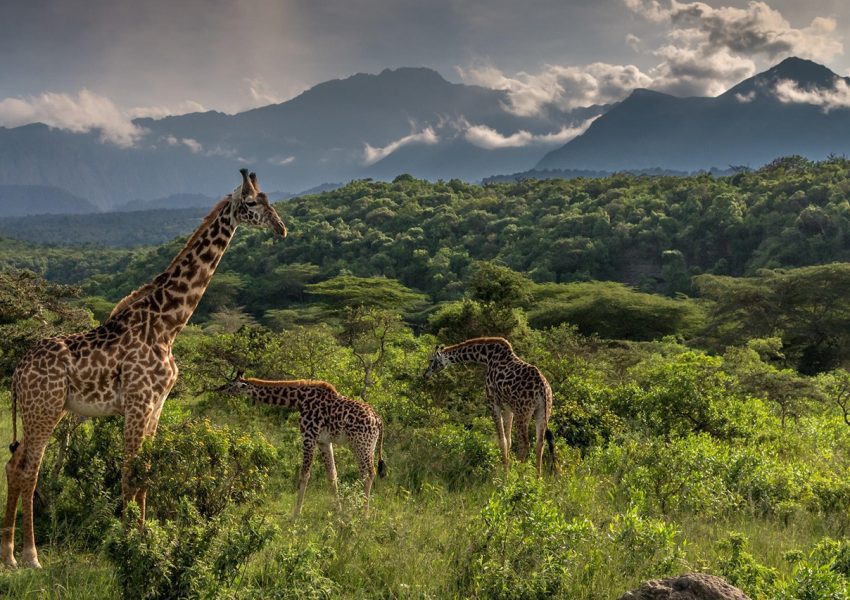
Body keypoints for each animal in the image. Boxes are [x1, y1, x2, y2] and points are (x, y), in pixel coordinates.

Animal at [2, 169, 286, 569]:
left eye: (267, 199)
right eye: (250, 203)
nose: (281, 228)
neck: (168, 324)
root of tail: (17, 372)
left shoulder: (157, 405)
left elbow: (146, 472)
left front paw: (144, 538)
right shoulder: (138, 403)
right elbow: (128, 473)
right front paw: (126, 545)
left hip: (37, 410)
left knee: (14, 465)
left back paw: (8, 554)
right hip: (46, 409)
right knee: (30, 469)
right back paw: (30, 556)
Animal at [217, 371, 386, 516]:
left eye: (231, 384)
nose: (218, 388)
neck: (300, 400)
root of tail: (379, 420)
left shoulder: (308, 436)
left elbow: (305, 474)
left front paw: (296, 514)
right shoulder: (323, 441)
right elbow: (332, 474)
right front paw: (337, 511)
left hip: (361, 444)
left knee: (368, 473)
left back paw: (364, 515)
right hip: (369, 446)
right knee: (367, 473)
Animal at [423, 336, 556, 476]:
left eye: (431, 360)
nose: (425, 374)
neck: (486, 356)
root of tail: (542, 387)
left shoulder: (493, 402)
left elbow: (502, 440)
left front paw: (505, 474)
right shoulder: (508, 408)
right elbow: (508, 440)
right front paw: (507, 468)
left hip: (523, 412)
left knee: (525, 444)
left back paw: (519, 475)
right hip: (543, 411)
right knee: (540, 443)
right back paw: (538, 477)